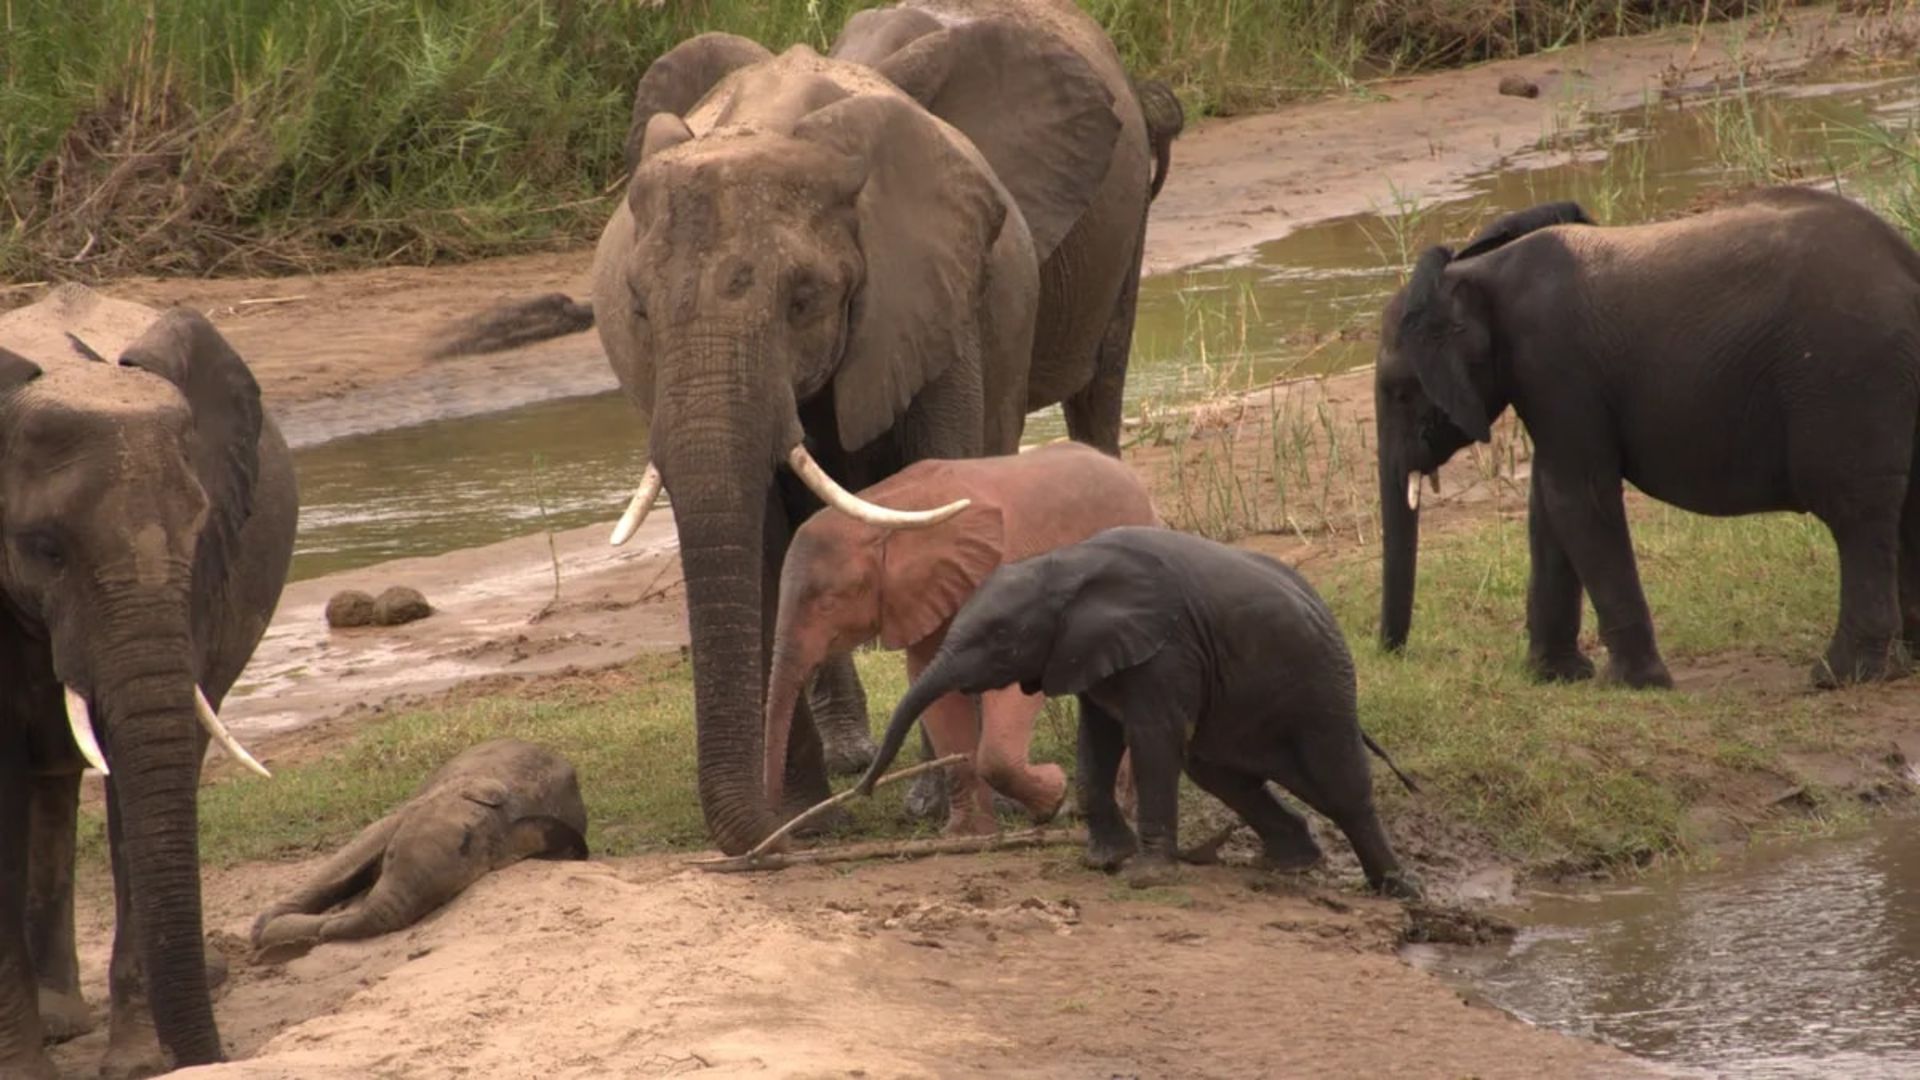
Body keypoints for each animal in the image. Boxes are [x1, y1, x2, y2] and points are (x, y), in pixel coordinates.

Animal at [0, 282, 295, 1068]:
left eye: (199, 531)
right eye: (43, 547)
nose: (217, 1057)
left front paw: (143, 1066)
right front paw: (25, 1072)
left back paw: (64, 1019)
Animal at [251, 734, 587, 953]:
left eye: (440, 900)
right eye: (390, 857)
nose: (324, 929)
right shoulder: (408, 811)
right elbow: (353, 854)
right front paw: (261, 929)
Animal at [760, 440, 1152, 834]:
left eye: (827, 604)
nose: (779, 829)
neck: (887, 514)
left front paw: (1054, 800)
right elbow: (930, 686)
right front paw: (968, 834)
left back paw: (1126, 811)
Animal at [860, 526, 1428, 895]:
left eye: (1002, 638)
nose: (863, 788)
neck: (1065, 564)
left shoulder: (1168, 648)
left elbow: (1152, 739)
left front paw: (1146, 877)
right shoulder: (1091, 654)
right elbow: (1098, 741)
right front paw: (1103, 861)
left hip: (1322, 689)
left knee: (1340, 786)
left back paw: (1398, 890)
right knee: (1221, 774)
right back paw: (1290, 864)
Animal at [1382, 186, 1920, 684]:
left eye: (1400, 393)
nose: (1393, 654)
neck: (1477, 271)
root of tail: (1905, 265)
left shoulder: (1554, 363)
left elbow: (1576, 498)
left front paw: (1632, 685)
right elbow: (1549, 506)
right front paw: (1555, 677)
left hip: (1845, 374)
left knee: (1854, 511)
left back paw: (1840, 676)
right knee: (1904, 507)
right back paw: (1906, 662)